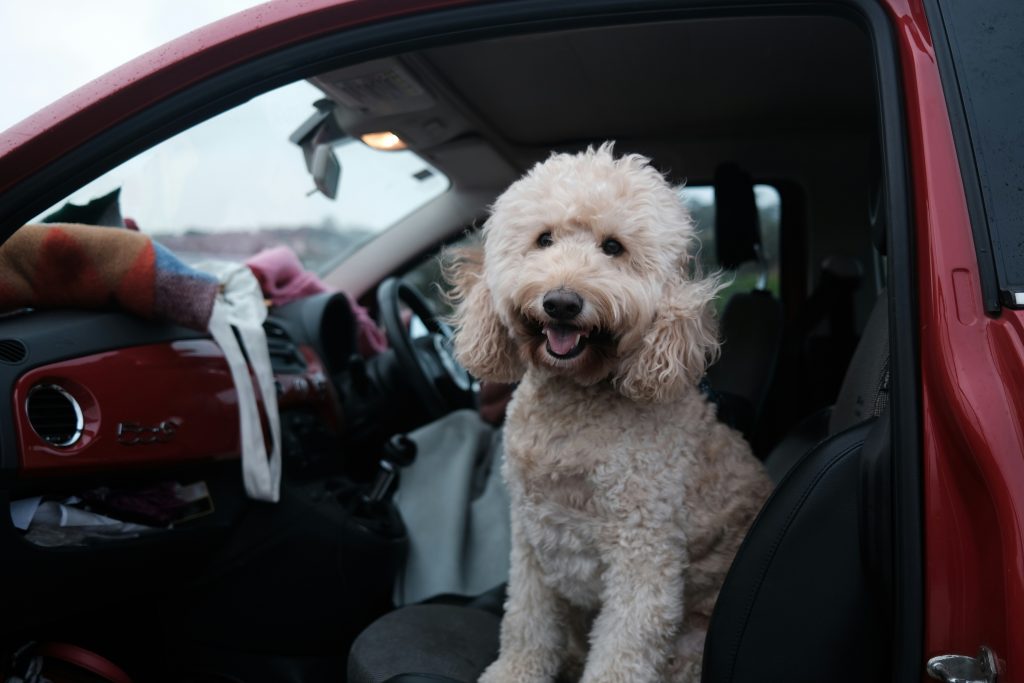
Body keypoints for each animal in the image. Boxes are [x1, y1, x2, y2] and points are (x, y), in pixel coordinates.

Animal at [446, 144, 770, 683]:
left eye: (613, 247)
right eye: (544, 239)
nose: (561, 302)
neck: (573, 403)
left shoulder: (643, 548)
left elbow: (623, 646)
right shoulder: (531, 541)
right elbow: (526, 620)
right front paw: (515, 671)